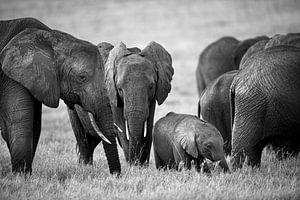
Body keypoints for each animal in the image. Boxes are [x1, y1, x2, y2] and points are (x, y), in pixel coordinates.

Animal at [0, 17, 122, 173]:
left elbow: (35, 126)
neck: (51, 37)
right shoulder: (12, 75)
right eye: (82, 77)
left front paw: (23, 175)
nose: (116, 175)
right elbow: (18, 124)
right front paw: (21, 176)